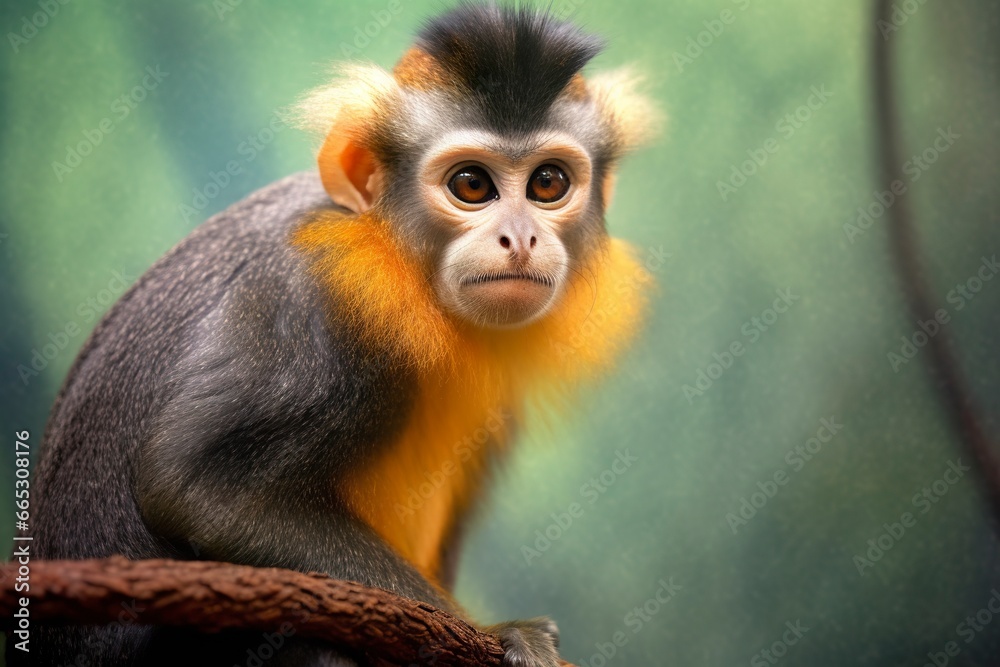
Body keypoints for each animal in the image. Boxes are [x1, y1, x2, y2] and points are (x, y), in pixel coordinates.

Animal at [12, 4, 658, 666]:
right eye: (472, 185)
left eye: (548, 183)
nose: (520, 238)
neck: (395, 260)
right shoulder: (314, 301)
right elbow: (199, 491)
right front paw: (505, 634)